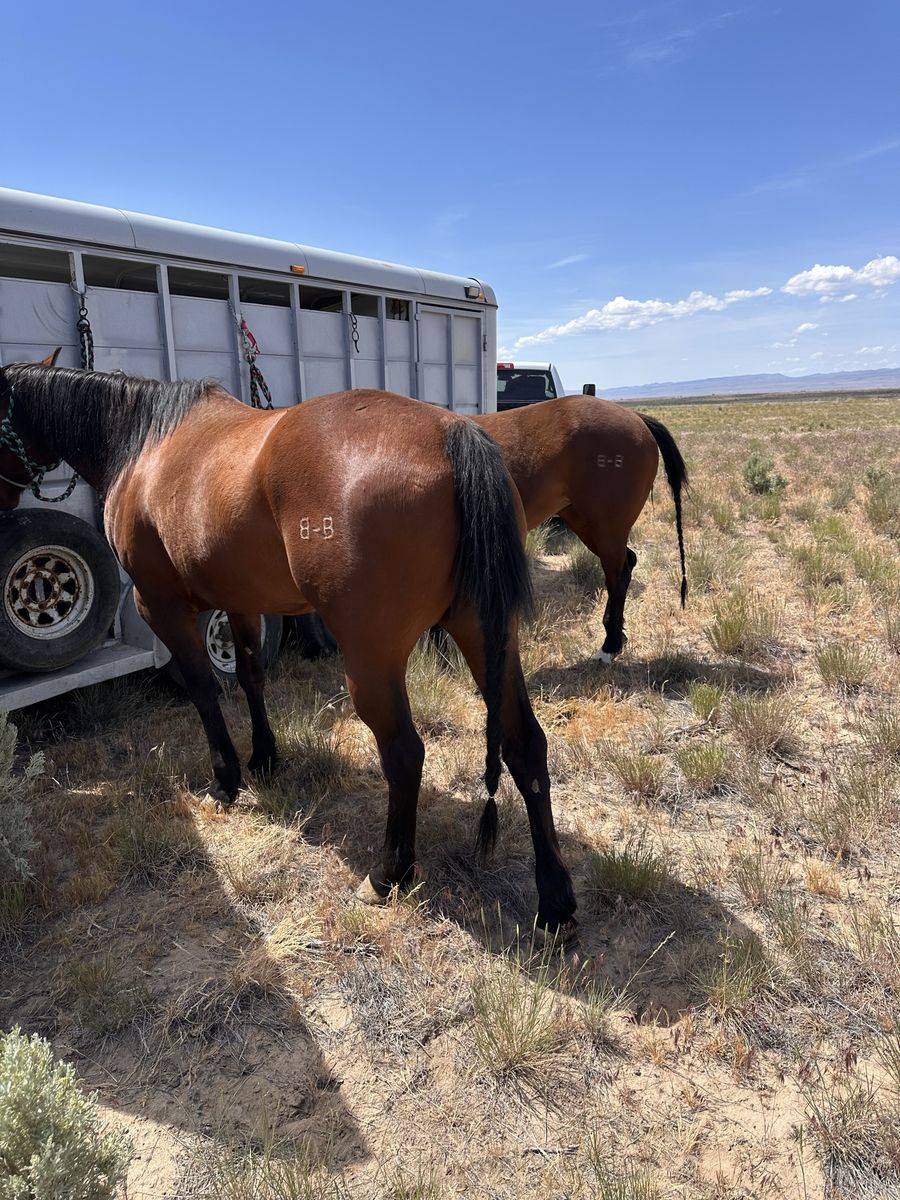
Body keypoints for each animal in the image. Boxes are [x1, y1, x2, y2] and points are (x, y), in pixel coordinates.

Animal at [0, 364, 577, 935]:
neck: (146, 441)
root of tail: (450, 432)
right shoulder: (240, 604)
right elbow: (251, 676)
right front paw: (264, 758)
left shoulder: (159, 605)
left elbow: (203, 690)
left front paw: (226, 780)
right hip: (486, 634)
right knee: (525, 744)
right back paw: (555, 901)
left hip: (373, 659)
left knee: (404, 752)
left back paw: (388, 874)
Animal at [475, 395, 688, 662]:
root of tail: (636, 417)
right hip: (587, 525)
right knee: (627, 563)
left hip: (607, 529)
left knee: (617, 578)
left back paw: (609, 646)